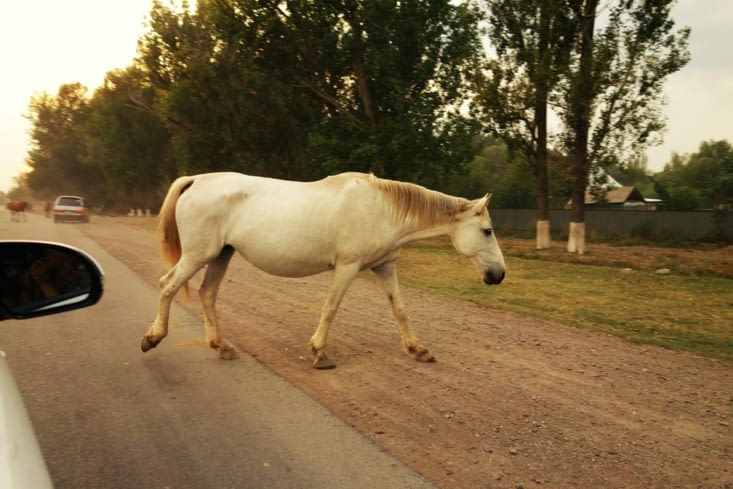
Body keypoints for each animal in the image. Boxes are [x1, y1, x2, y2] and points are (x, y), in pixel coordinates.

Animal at [141, 172, 506, 369]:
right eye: (487, 230)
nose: (499, 275)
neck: (380, 208)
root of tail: (196, 180)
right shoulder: (348, 266)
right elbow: (330, 308)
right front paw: (319, 353)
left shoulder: (384, 266)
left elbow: (400, 310)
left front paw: (418, 350)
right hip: (198, 255)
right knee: (168, 285)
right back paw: (153, 338)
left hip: (220, 255)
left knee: (207, 295)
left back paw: (222, 346)